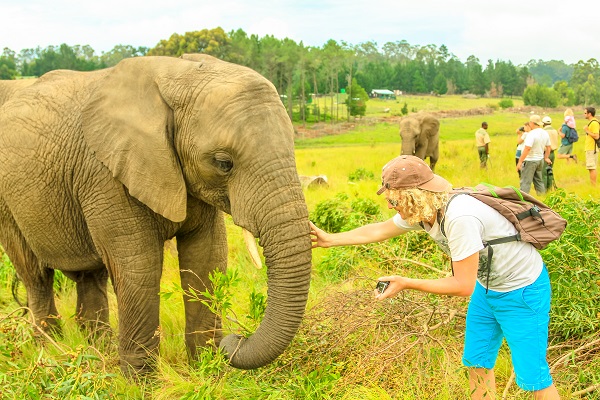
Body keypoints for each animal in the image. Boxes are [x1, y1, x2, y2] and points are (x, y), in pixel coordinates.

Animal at [0, 54, 312, 376]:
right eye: (223, 163)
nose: (234, 339)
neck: (180, 75)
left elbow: (207, 256)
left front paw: (207, 371)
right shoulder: (107, 175)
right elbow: (140, 267)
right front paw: (141, 382)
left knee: (90, 276)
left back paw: (97, 353)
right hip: (8, 204)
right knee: (36, 275)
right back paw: (50, 351)